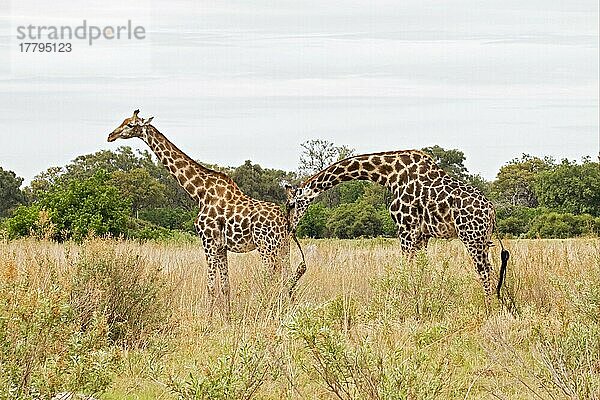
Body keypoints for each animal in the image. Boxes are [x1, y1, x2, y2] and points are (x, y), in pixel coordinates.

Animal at [106, 110, 300, 316]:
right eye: (124, 121)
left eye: (130, 125)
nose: (110, 135)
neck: (200, 192)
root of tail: (285, 221)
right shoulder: (221, 246)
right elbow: (225, 286)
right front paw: (227, 318)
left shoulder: (208, 241)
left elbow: (210, 286)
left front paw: (209, 319)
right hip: (283, 247)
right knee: (289, 280)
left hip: (266, 247)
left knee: (272, 281)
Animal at [284, 150, 508, 306]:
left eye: (291, 204)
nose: (290, 229)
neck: (389, 175)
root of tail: (491, 210)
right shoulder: (422, 235)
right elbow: (420, 269)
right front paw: (421, 300)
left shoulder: (405, 228)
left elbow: (406, 269)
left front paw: (404, 303)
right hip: (483, 239)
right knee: (491, 269)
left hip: (471, 237)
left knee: (484, 271)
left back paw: (489, 309)